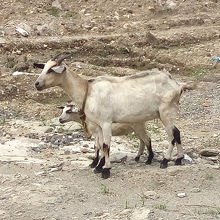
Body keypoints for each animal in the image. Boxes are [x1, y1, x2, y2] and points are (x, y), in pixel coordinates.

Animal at [34, 52, 194, 179]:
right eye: (44, 67)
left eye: (51, 70)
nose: (37, 84)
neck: (88, 91)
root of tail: (177, 85)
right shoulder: (97, 125)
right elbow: (99, 145)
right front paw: (98, 166)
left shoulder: (106, 122)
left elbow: (106, 146)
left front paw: (106, 170)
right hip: (165, 115)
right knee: (176, 132)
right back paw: (179, 159)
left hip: (166, 112)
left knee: (171, 136)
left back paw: (165, 161)